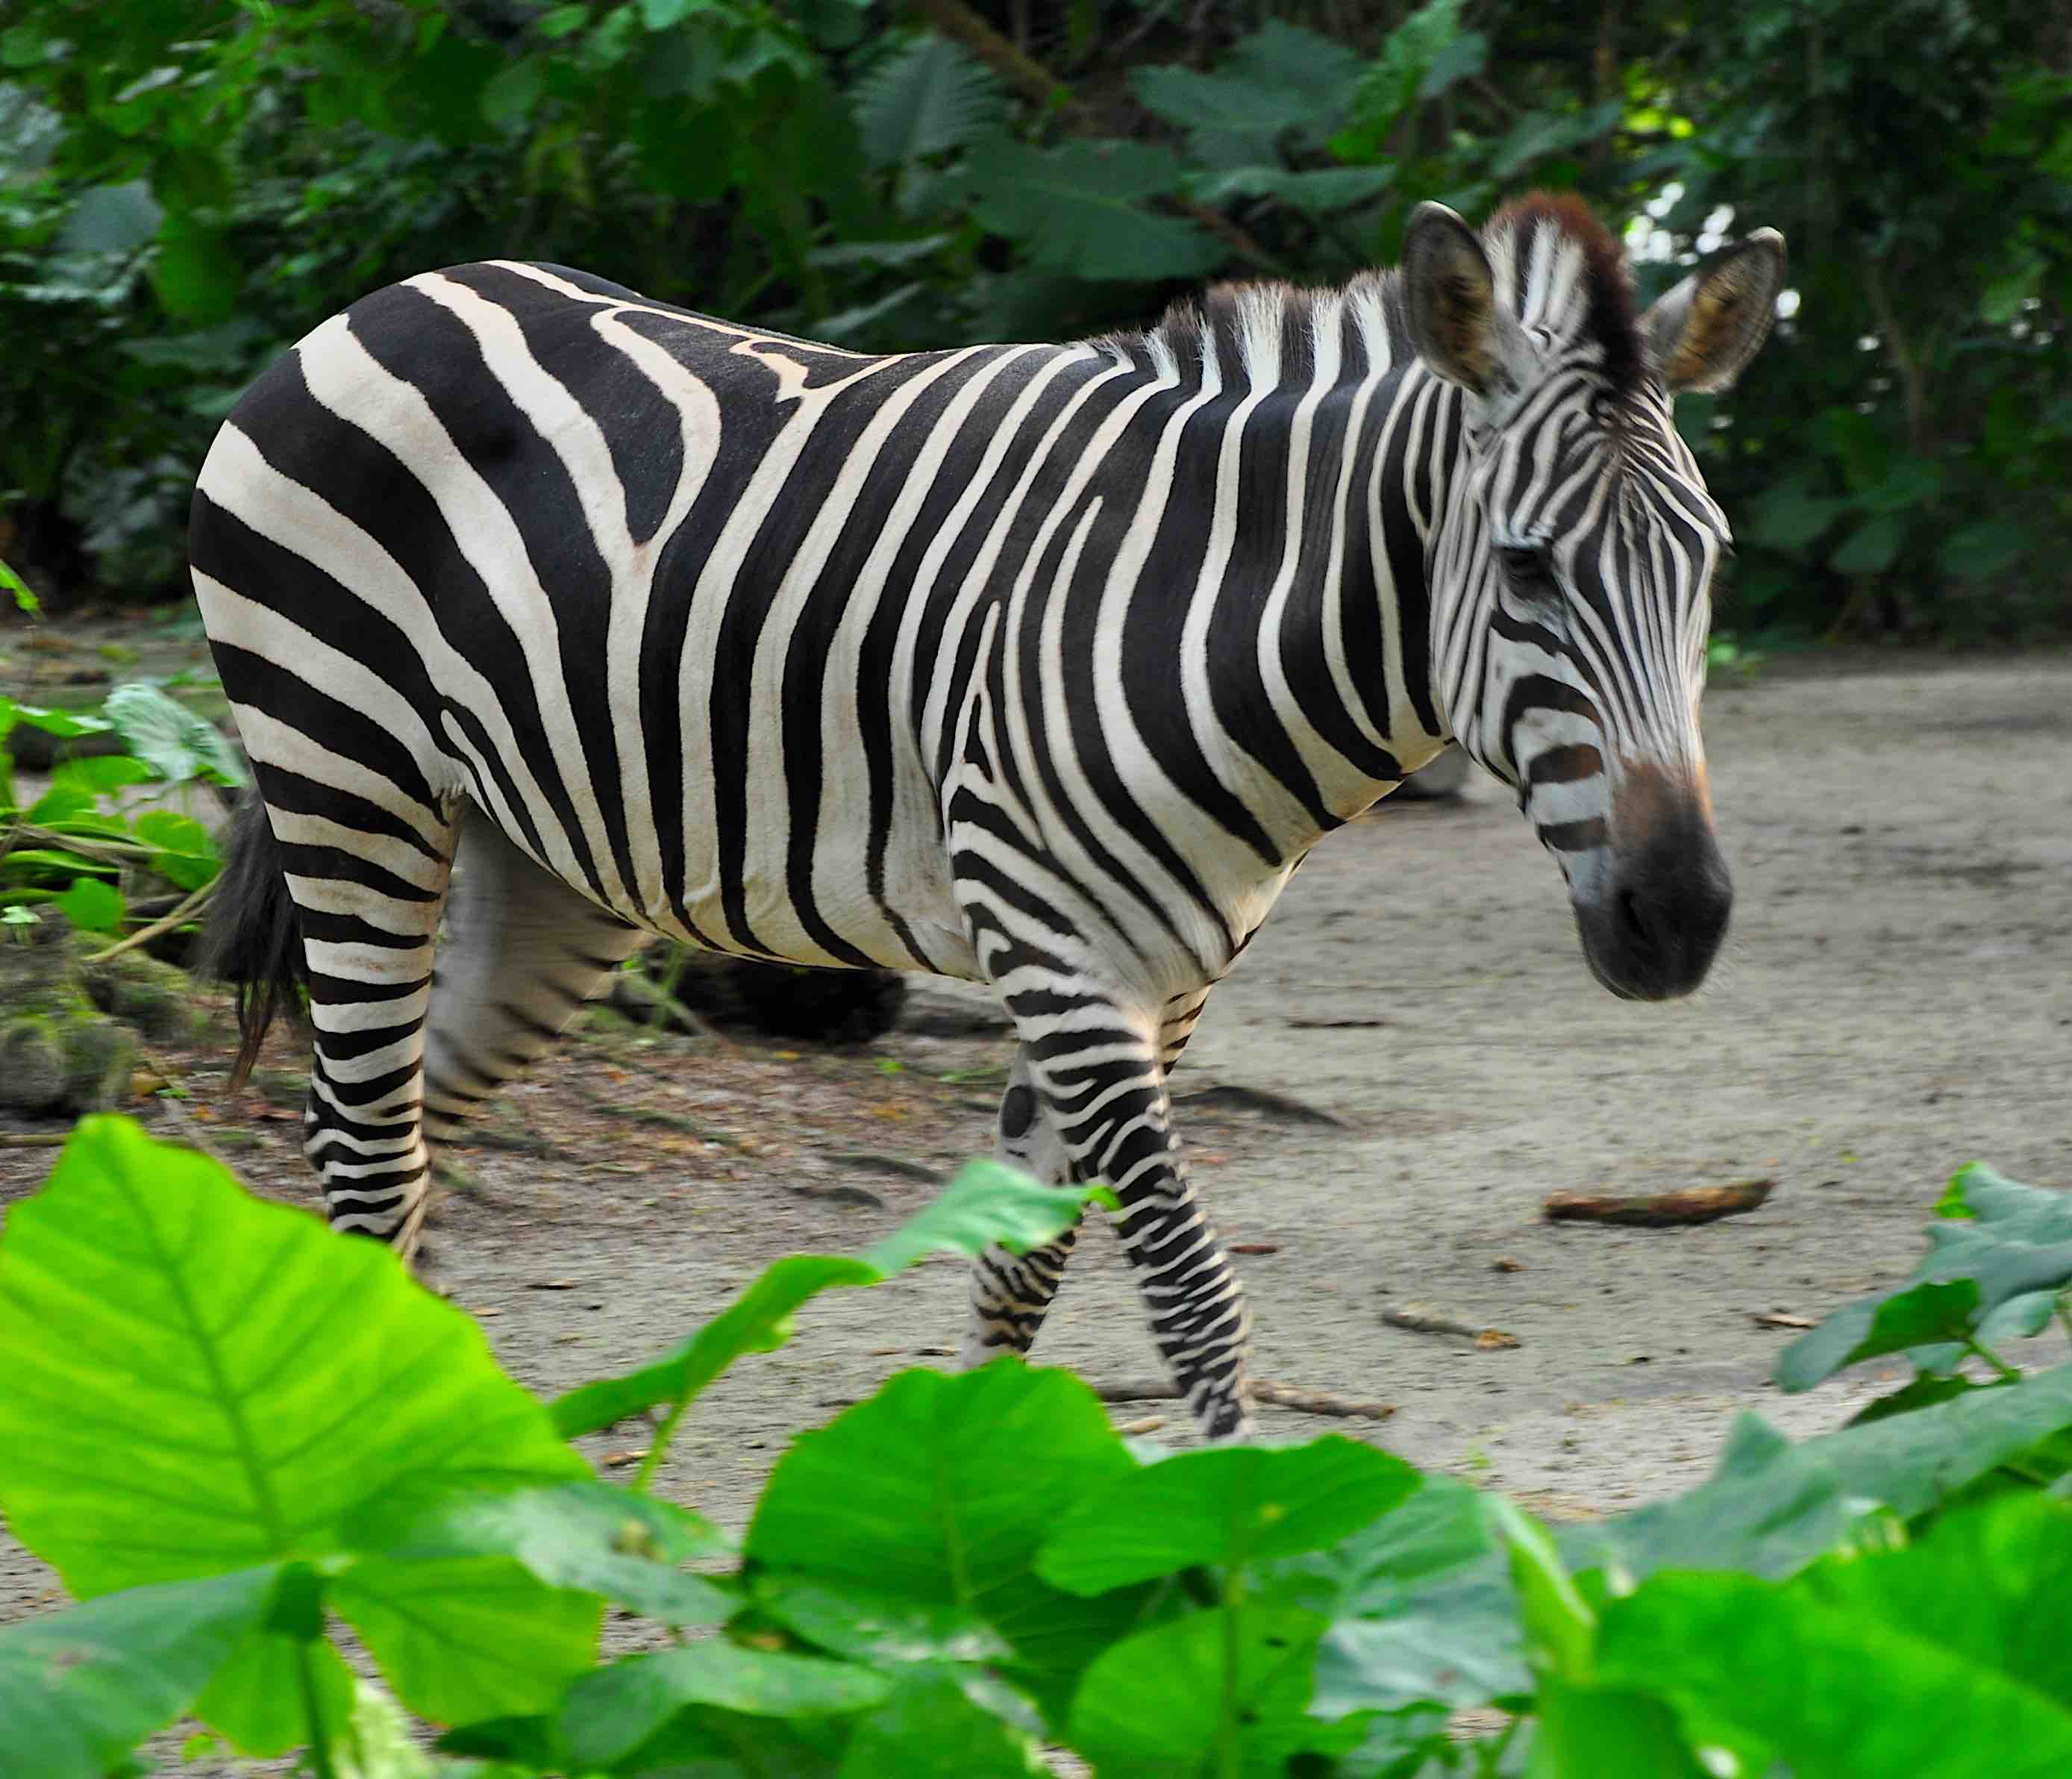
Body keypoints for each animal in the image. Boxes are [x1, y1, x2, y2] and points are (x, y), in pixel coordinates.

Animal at [193, 191, 1785, 1441]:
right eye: (1524, 570)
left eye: (1710, 561)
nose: (1682, 915)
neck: (1200, 610)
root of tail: (381, 298)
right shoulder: (1057, 944)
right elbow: (1191, 1294)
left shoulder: (1161, 977)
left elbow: (1021, 1263)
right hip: (350, 778)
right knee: (364, 1143)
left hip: (542, 867)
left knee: (411, 1135)